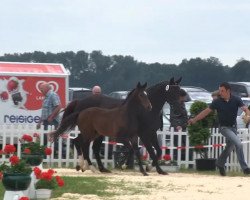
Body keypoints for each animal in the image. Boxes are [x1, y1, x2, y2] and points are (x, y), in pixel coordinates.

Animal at [53, 77, 182, 176]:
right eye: (175, 89)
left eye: (179, 88)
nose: (181, 106)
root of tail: (79, 103)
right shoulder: (143, 134)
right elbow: (149, 151)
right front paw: (147, 168)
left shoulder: (151, 133)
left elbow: (157, 151)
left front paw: (155, 169)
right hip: (91, 133)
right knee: (84, 144)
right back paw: (88, 166)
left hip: (95, 133)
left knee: (81, 143)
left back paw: (90, 167)